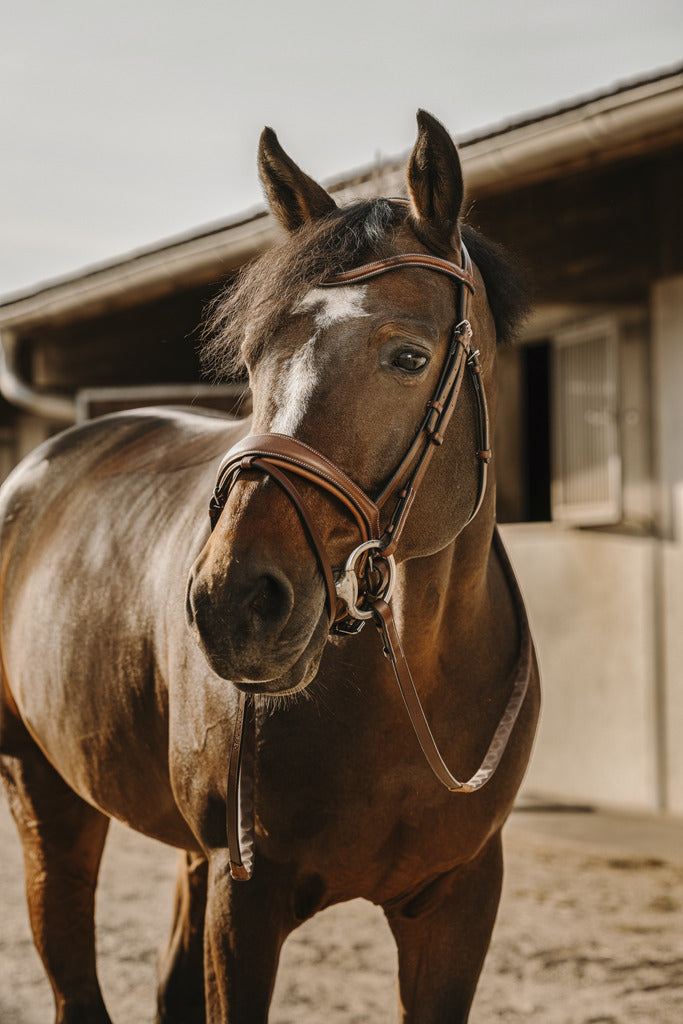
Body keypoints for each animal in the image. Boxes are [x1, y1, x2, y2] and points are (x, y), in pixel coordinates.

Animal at [2, 108, 540, 1019]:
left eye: (408, 356)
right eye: (255, 361)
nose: (232, 603)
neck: (414, 681)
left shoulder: (460, 897)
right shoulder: (244, 896)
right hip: (46, 797)